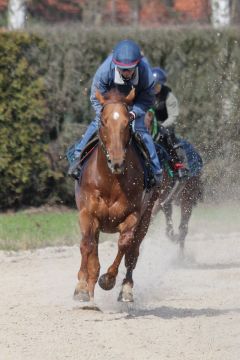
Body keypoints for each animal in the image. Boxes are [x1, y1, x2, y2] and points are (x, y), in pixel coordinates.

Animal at [74, 88, 158, 302]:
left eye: (127, 122)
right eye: (103, 121)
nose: (117, 161)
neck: (110, 181)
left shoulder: (133, 215)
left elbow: (124, 244)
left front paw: (108, 280)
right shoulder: (88, 213)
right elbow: (87, 246)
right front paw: (83, 289)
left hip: (147, 217)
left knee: (133, 253)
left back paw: (126, 289)